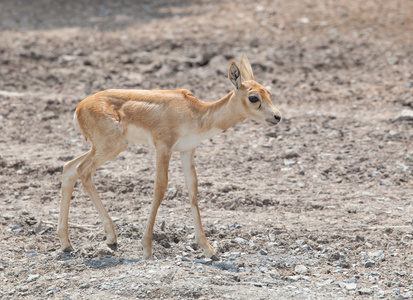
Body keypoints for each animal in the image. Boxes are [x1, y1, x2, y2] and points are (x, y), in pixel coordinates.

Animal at [58, 55, 282, 258]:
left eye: (269, 92)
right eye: (253, 97)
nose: (277, 117)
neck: (196, 114)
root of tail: (79, 107)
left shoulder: (187, 151)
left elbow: (192, 190)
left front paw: (208, 250)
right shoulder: (163, 148)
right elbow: (160, 188)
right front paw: (147, 249)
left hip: (105, 147)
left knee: (69, 168)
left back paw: (67, 243)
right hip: (110, 147)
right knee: (83, 171)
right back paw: (110, 238)